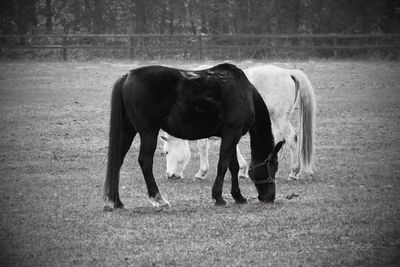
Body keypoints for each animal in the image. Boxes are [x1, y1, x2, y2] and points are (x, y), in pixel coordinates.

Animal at [103, 62, 284, 209]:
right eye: (274, 165)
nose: (270, 196)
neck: (245, 93)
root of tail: (128, 76)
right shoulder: (232, 133)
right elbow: (223, 165)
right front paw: (218, 197)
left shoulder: (232, 135)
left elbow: (233, 166)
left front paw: (238, 196)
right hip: (149, 133)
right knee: (145, 162)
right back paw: (159, 199)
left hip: (128, 131)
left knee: (117, 161)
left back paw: (116, 202)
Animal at [159, 65, 316, 181]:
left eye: (166, 152)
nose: (169, 175)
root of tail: (288, 72)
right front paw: (242, 171)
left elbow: (203, 146)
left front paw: (201, 173)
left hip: (280, 118)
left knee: (291, 138)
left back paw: (294, 173)